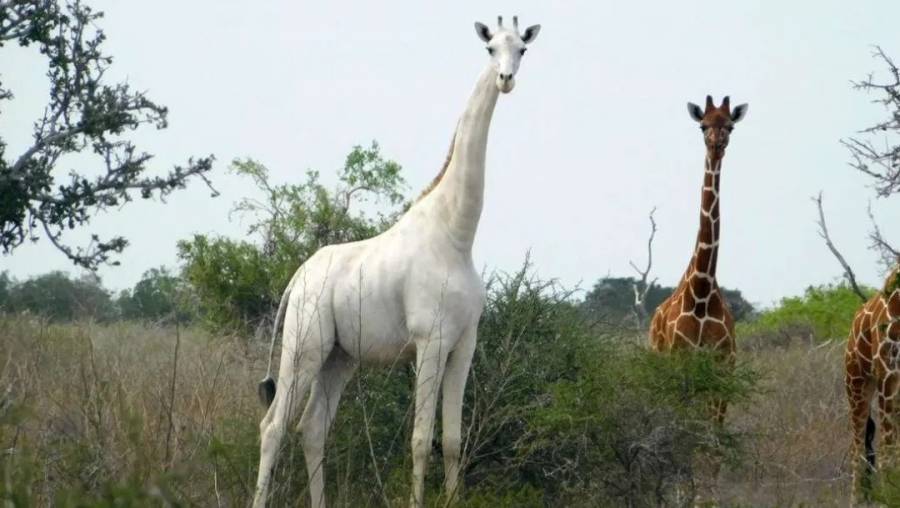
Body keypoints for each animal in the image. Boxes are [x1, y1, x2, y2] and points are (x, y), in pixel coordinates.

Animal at [251, 16, 541, 508]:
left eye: (521, 48)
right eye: (489, 49)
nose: (506, 79)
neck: (456, 235)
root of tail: (296, 278)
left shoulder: (464, 343)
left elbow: (452, 440)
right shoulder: (430, 340)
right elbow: (421, 439)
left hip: (340, 357)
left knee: (312, 427)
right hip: (304, 346)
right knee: (272, 426)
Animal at [649, 95, 748, 423]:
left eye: (730, 125)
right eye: (703, 125)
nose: (717, 143)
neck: (702, 290)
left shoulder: (723, 364)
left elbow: (714, 426)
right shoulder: (682, 359)